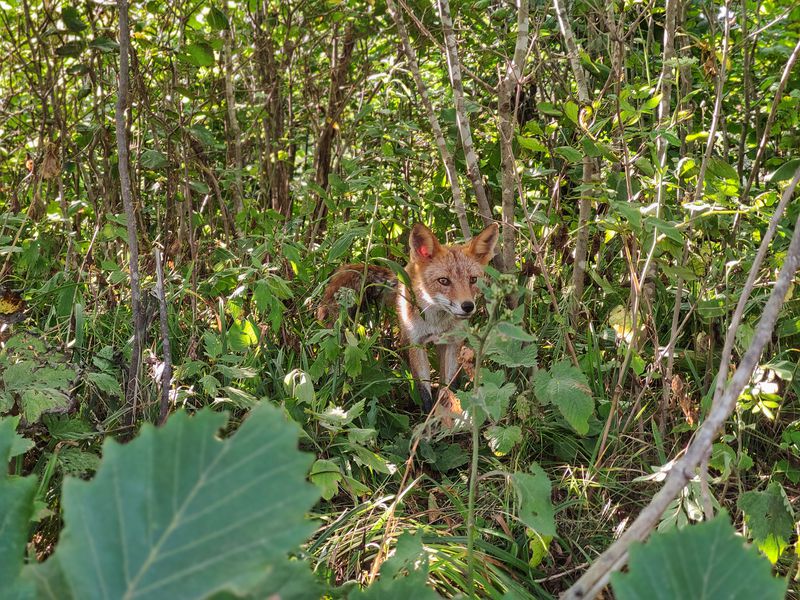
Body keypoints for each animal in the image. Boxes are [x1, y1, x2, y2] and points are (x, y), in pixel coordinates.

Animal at [318, 223, 494, 414]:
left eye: (473, 280)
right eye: (444, 281)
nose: (468, 306)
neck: (436, 323)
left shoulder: (453, 341)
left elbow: (449, 386)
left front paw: (447, 412)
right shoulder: (416, 343)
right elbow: (423, 390)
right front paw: (427, 415)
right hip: (405, 338)